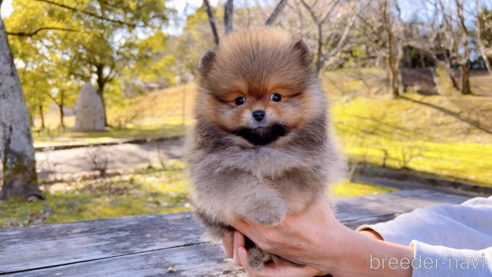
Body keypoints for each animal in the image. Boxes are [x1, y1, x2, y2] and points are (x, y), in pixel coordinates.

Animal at [185, 28, 346, 270]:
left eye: (276, 96)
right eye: (239, 100)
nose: (259, 113)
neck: (262, 148)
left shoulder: (308, 168)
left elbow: (287, 180)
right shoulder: (219, 171)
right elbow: (247, 186)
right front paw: (267, 210)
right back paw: (257, 255)